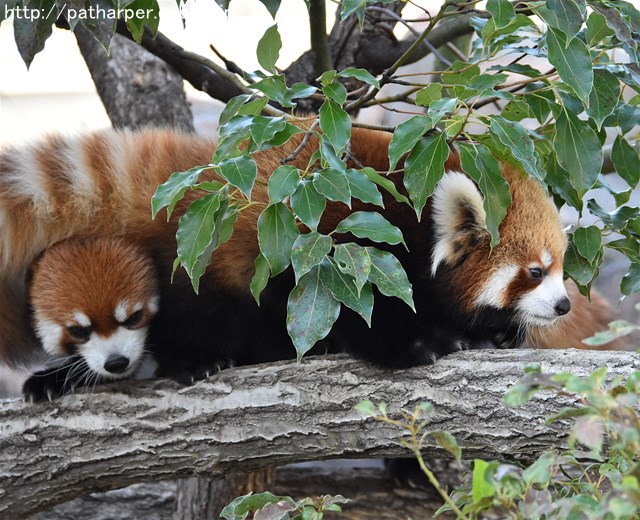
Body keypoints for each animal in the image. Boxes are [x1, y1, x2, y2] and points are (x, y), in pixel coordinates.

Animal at [0, 127, 620, 402]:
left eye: (561, 268)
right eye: (534, 271)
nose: (563, 305)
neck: (419, 215)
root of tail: (201, 178)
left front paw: (493, 332)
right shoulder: (353, 241)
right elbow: (362, 309)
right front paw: (420, 345)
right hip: (215, 262)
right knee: (203, 313)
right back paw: (193, 360)